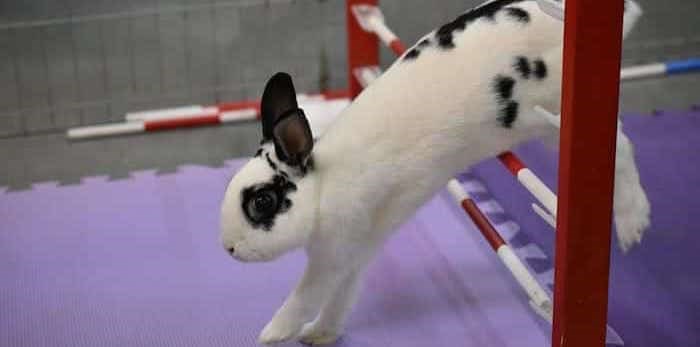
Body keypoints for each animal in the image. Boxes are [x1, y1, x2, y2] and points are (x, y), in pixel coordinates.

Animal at [220, 0, 652, 346]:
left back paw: (632, 224)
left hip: (556, 115)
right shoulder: (354, 254)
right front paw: (319, 335)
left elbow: (305, 295)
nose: (229, 249)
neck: (324, 187)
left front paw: (272, 333)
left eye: (262, 201)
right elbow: (340, 298)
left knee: (621, 148)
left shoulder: (333, 254)